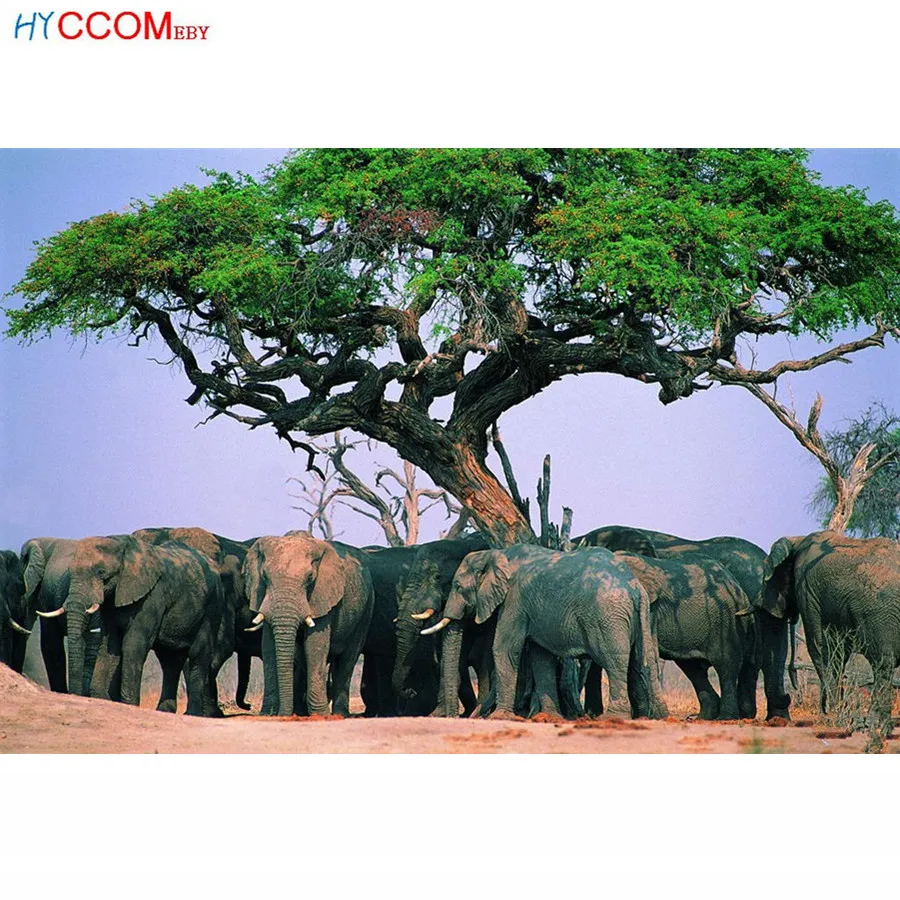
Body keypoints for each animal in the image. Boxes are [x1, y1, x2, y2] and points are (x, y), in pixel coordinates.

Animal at [58, 533, 228, 716]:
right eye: (70, 572)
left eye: (101, 572)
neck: (121, 544)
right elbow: (109, 645)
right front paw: (102, 698)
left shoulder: (152, 596)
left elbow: (133, 644)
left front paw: (129, 705)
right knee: (170, 661)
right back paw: (164, 711)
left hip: (213, 606)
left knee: (197, 654)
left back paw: (192, 714)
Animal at [242, 531, 374, 717]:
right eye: (265, 577)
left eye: (310, 577)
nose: (284, 714)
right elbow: (268, 647)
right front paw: (267, 714)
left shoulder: (322, 595)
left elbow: (315, 646)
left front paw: (320, 715)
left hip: (367, 608)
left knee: (348, 657)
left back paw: (339, 714)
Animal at [424, 545, 669, 721]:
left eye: (457, 586)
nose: (464, 716)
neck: (496, 554)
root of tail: (635, 588)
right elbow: (541, 657)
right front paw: (549, 716)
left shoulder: (515, 600)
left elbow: (505, 649)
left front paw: (500, 717)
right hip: (640, 616)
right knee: (643, 661)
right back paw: (654, 718)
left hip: (607, 617)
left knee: (614, 661)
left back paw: (613, 718)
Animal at [761, 530, 900, 726]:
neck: (797, 540)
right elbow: (839, 652)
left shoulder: (807, 592)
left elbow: (821, 649)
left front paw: (830, 714)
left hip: (880, 611)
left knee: (882, 663)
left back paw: (874, 722)